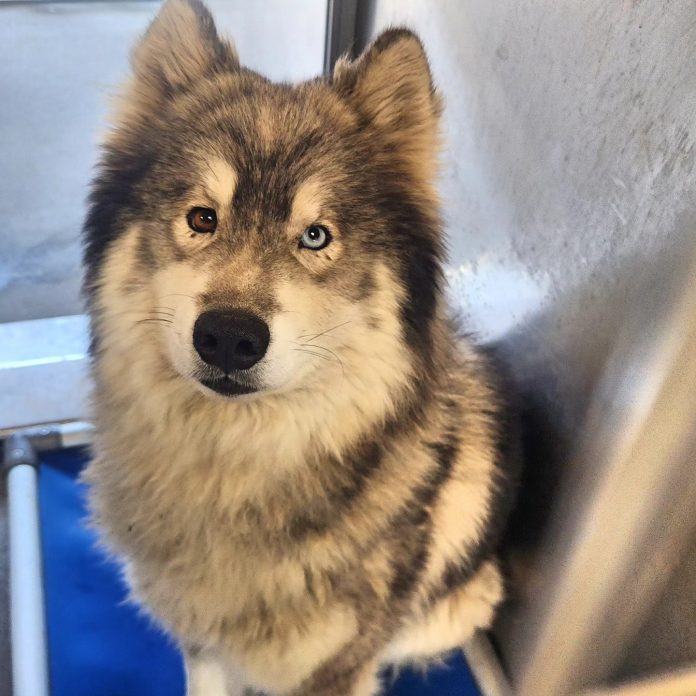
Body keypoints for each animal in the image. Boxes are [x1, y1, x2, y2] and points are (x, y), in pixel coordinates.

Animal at [81, 2, 520, 692]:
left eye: (316, 236)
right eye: (202, 218)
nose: (229, 337)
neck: (234, 474)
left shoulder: (336, 667)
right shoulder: (201, 647)